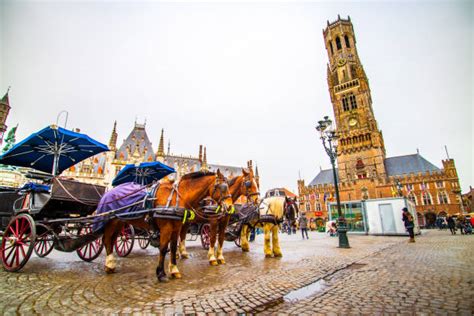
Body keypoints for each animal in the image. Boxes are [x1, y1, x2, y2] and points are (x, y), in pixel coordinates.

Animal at [100, 169, 233, 282]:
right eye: (223, 187)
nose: (230, 207)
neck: (178, 198)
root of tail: (109, 192)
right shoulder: (166, 228)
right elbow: (163, 248)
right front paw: (161, 274)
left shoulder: (176, 228)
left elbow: (173, 247)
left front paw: (174, 270)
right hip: (111, 222)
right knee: (106, 239)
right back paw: (109, 264)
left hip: (120, 222)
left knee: (111, 240)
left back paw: (110, 264)